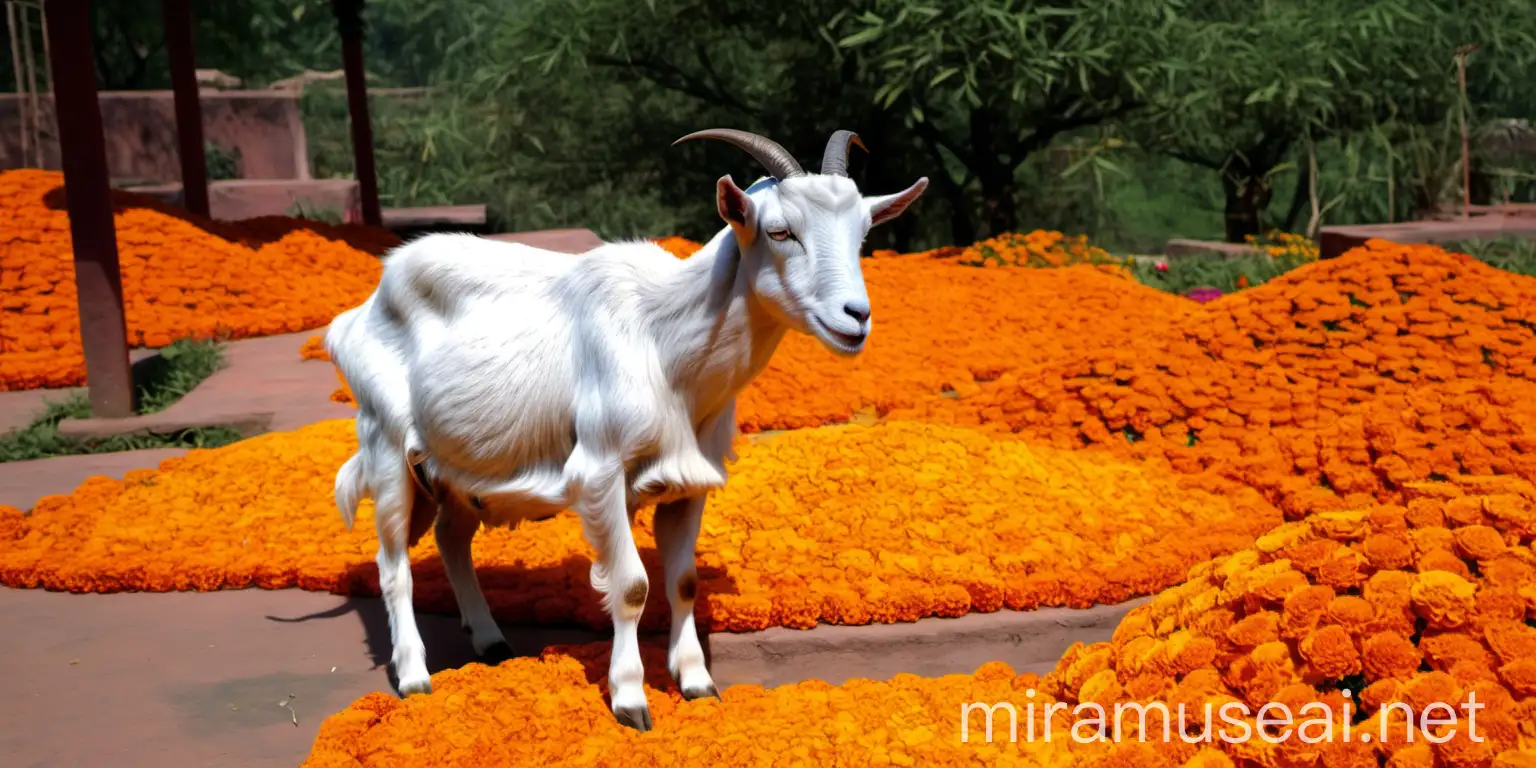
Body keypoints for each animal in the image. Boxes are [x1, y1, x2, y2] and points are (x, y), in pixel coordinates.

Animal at [327, 129, 921, 728]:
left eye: (863, 234)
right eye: (780, 231)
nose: (856, 317)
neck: (665, 340)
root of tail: (355, 316)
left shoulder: (689, 482)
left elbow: (683, 582)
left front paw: (697, 682)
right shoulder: (599, 473)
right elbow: (632, 585)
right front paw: (631, 700)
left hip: (457, 469)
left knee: (451, 537)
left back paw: (492, 642)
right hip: (386, 444)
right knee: (393, 563)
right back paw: (414, 676)